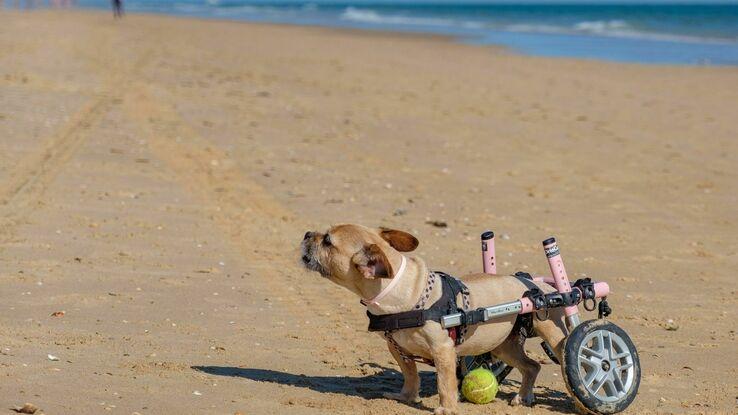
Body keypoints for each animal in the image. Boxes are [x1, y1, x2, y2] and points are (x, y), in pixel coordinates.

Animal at [302, 226, 568, 414]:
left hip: (552, 333)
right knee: (531, 366)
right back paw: (524, 396)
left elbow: (444, 381)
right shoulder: (397, 348)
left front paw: (447, 408)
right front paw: (406, 397)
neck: (401, 290)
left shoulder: (442, 350)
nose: (306, 234)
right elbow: (410, 374)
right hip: (503, 346)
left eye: (328, 241)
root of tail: (537, 284)